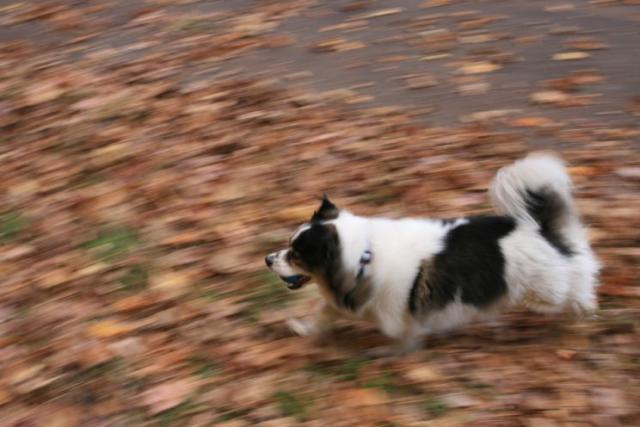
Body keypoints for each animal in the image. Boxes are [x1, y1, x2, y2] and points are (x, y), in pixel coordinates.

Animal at [264, 154, 600, 354]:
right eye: (289, 247)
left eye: (295, 255)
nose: (267, 260)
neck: (363, 258)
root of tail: (540, 228)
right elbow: (322, 315)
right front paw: (304, 330)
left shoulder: (398, 314)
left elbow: (403, 336)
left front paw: (391, 353)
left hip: (543, 293)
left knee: (576, 290)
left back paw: (584, 313)